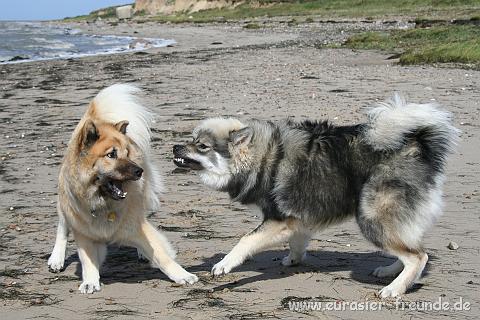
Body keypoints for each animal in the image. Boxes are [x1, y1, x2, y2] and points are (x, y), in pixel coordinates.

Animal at [47, 84, 198, 292]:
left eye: (127, 153)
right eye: (111, 155)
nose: (139, 171)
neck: (103, 203)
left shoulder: (136, 226)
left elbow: (161, 255)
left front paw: (182, 275)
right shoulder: (83, 234)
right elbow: (87, 260)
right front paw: (90, 281)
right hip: (65, 204)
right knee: (62, 226)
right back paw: (56, 258)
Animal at [172, 94, 458, 298]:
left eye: (201, 146)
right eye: (191, 138)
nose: (174, 146)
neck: (264, 157)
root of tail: (417, 145)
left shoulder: (278, 219)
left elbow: (246, 240)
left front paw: (225, 264)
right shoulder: (297, 219)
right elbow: (296, 242)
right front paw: (294, 259)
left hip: (371, 217)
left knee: (418, 256)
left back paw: (395, 289)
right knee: (410, 248)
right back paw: (389, 272)